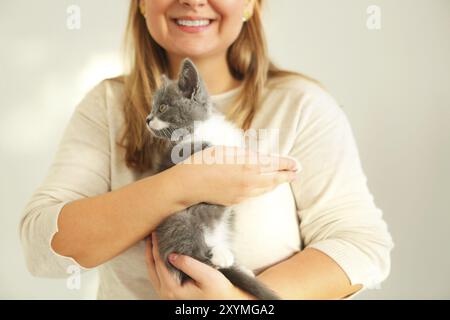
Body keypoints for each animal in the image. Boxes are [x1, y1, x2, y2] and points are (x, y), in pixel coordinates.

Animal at [147, 58, 282, 300]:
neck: (202, 128)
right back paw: (219, 257)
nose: (147, 119)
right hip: (178, 219)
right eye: (152, 108)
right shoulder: (183, 156)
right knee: (192, 258)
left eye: (161, 107)